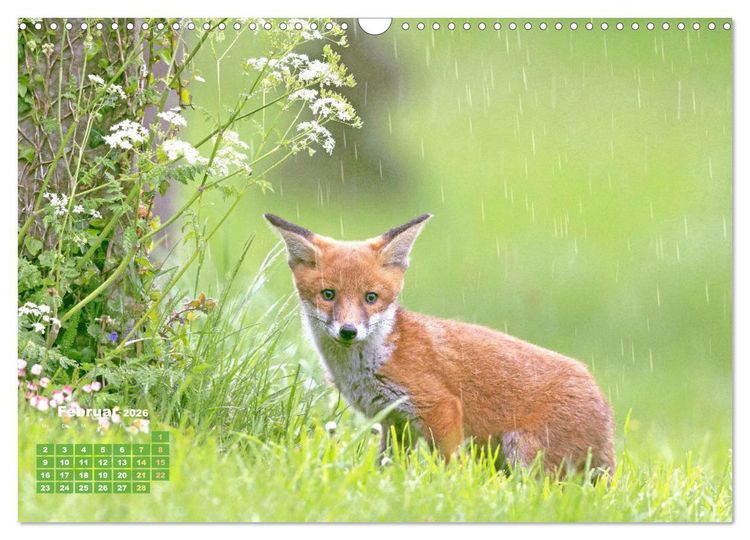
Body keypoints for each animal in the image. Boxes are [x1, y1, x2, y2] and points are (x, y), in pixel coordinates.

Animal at [265, 212, 615, 475]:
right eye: (328, 295)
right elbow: (387, 466)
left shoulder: (440, 407)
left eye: (371, 297)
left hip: (524, 454)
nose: (348, 331)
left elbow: (449, 467)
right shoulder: (395, 422)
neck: (372, 362)